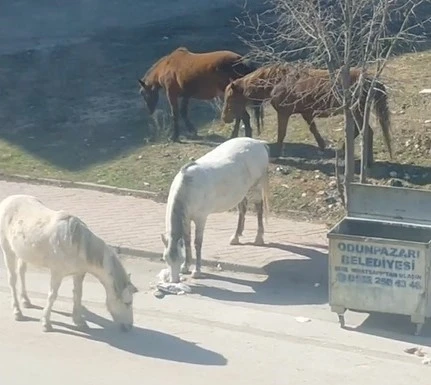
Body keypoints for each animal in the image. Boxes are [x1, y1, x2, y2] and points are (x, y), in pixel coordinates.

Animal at [0, 194, 138, 332]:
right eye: (128, 303)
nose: (129, 326)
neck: (77, 243)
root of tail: (7, 201)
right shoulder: (57, 273)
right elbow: (52, 295)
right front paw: (46, 323)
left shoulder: (79, 273)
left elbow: (78, 295)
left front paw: (79, 321)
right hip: (8, 250)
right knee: (12, 280)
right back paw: (17, 312)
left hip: (22, 253)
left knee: (22, 272)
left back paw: (26, 301)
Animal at [161, 136, 270, 282]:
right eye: (165, 259)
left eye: (179, 259)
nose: (174, 281)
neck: (188, 188)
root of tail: (258, 142)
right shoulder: (187, 219)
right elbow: (187, 240)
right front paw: (186, 266)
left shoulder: (201, 219)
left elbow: (197, 243)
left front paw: (196, 271)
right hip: (241, 192)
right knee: (243, 208)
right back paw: (236, 237)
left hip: (256, 187)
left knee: (259, 208)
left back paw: (258, 238)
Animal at [223, 63, 394, 165]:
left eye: (230, 98)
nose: (224, 118)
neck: (277, 81)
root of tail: (370, 81)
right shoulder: (306, 113)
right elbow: (313, 129)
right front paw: (322, 146)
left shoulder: (284, 114)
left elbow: (281, 133)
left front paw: (277, 152)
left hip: (356, 112)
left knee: (366, 132)